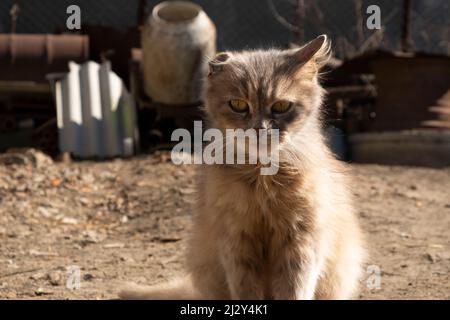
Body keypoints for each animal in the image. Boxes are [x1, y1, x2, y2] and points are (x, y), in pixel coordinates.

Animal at [119, 35, 366, 300]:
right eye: (238, 104)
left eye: (281, 107)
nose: (259, 129)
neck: (262, 176)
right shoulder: (236, 241)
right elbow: (246, 290)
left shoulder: (301, 241)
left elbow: (294, 290)